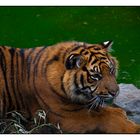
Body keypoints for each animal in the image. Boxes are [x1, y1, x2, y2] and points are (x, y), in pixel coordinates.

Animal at [0, 40, 140, 133]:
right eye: (96, 76)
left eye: (111, 70)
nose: (115, 92)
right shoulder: (66, 116)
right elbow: (107, 117)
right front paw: (133, 127)